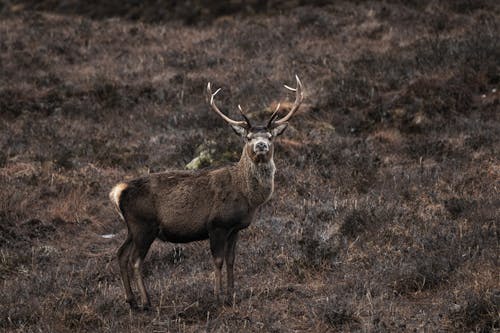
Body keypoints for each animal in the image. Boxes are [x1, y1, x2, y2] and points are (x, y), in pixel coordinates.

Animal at [109, 74, 302, 308]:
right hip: (144, 225)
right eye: (248, 137)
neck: (247, 197)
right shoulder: (216, 224)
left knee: (121, 254)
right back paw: (146, 301)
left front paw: (232, 294)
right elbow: (217, 260)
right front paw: (218, 297)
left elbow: (231, 260)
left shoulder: (234, 228)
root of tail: (119, 192)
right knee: (135, 260)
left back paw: (131, 300)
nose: (261, 145)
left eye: (270, 136)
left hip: (133, 228)